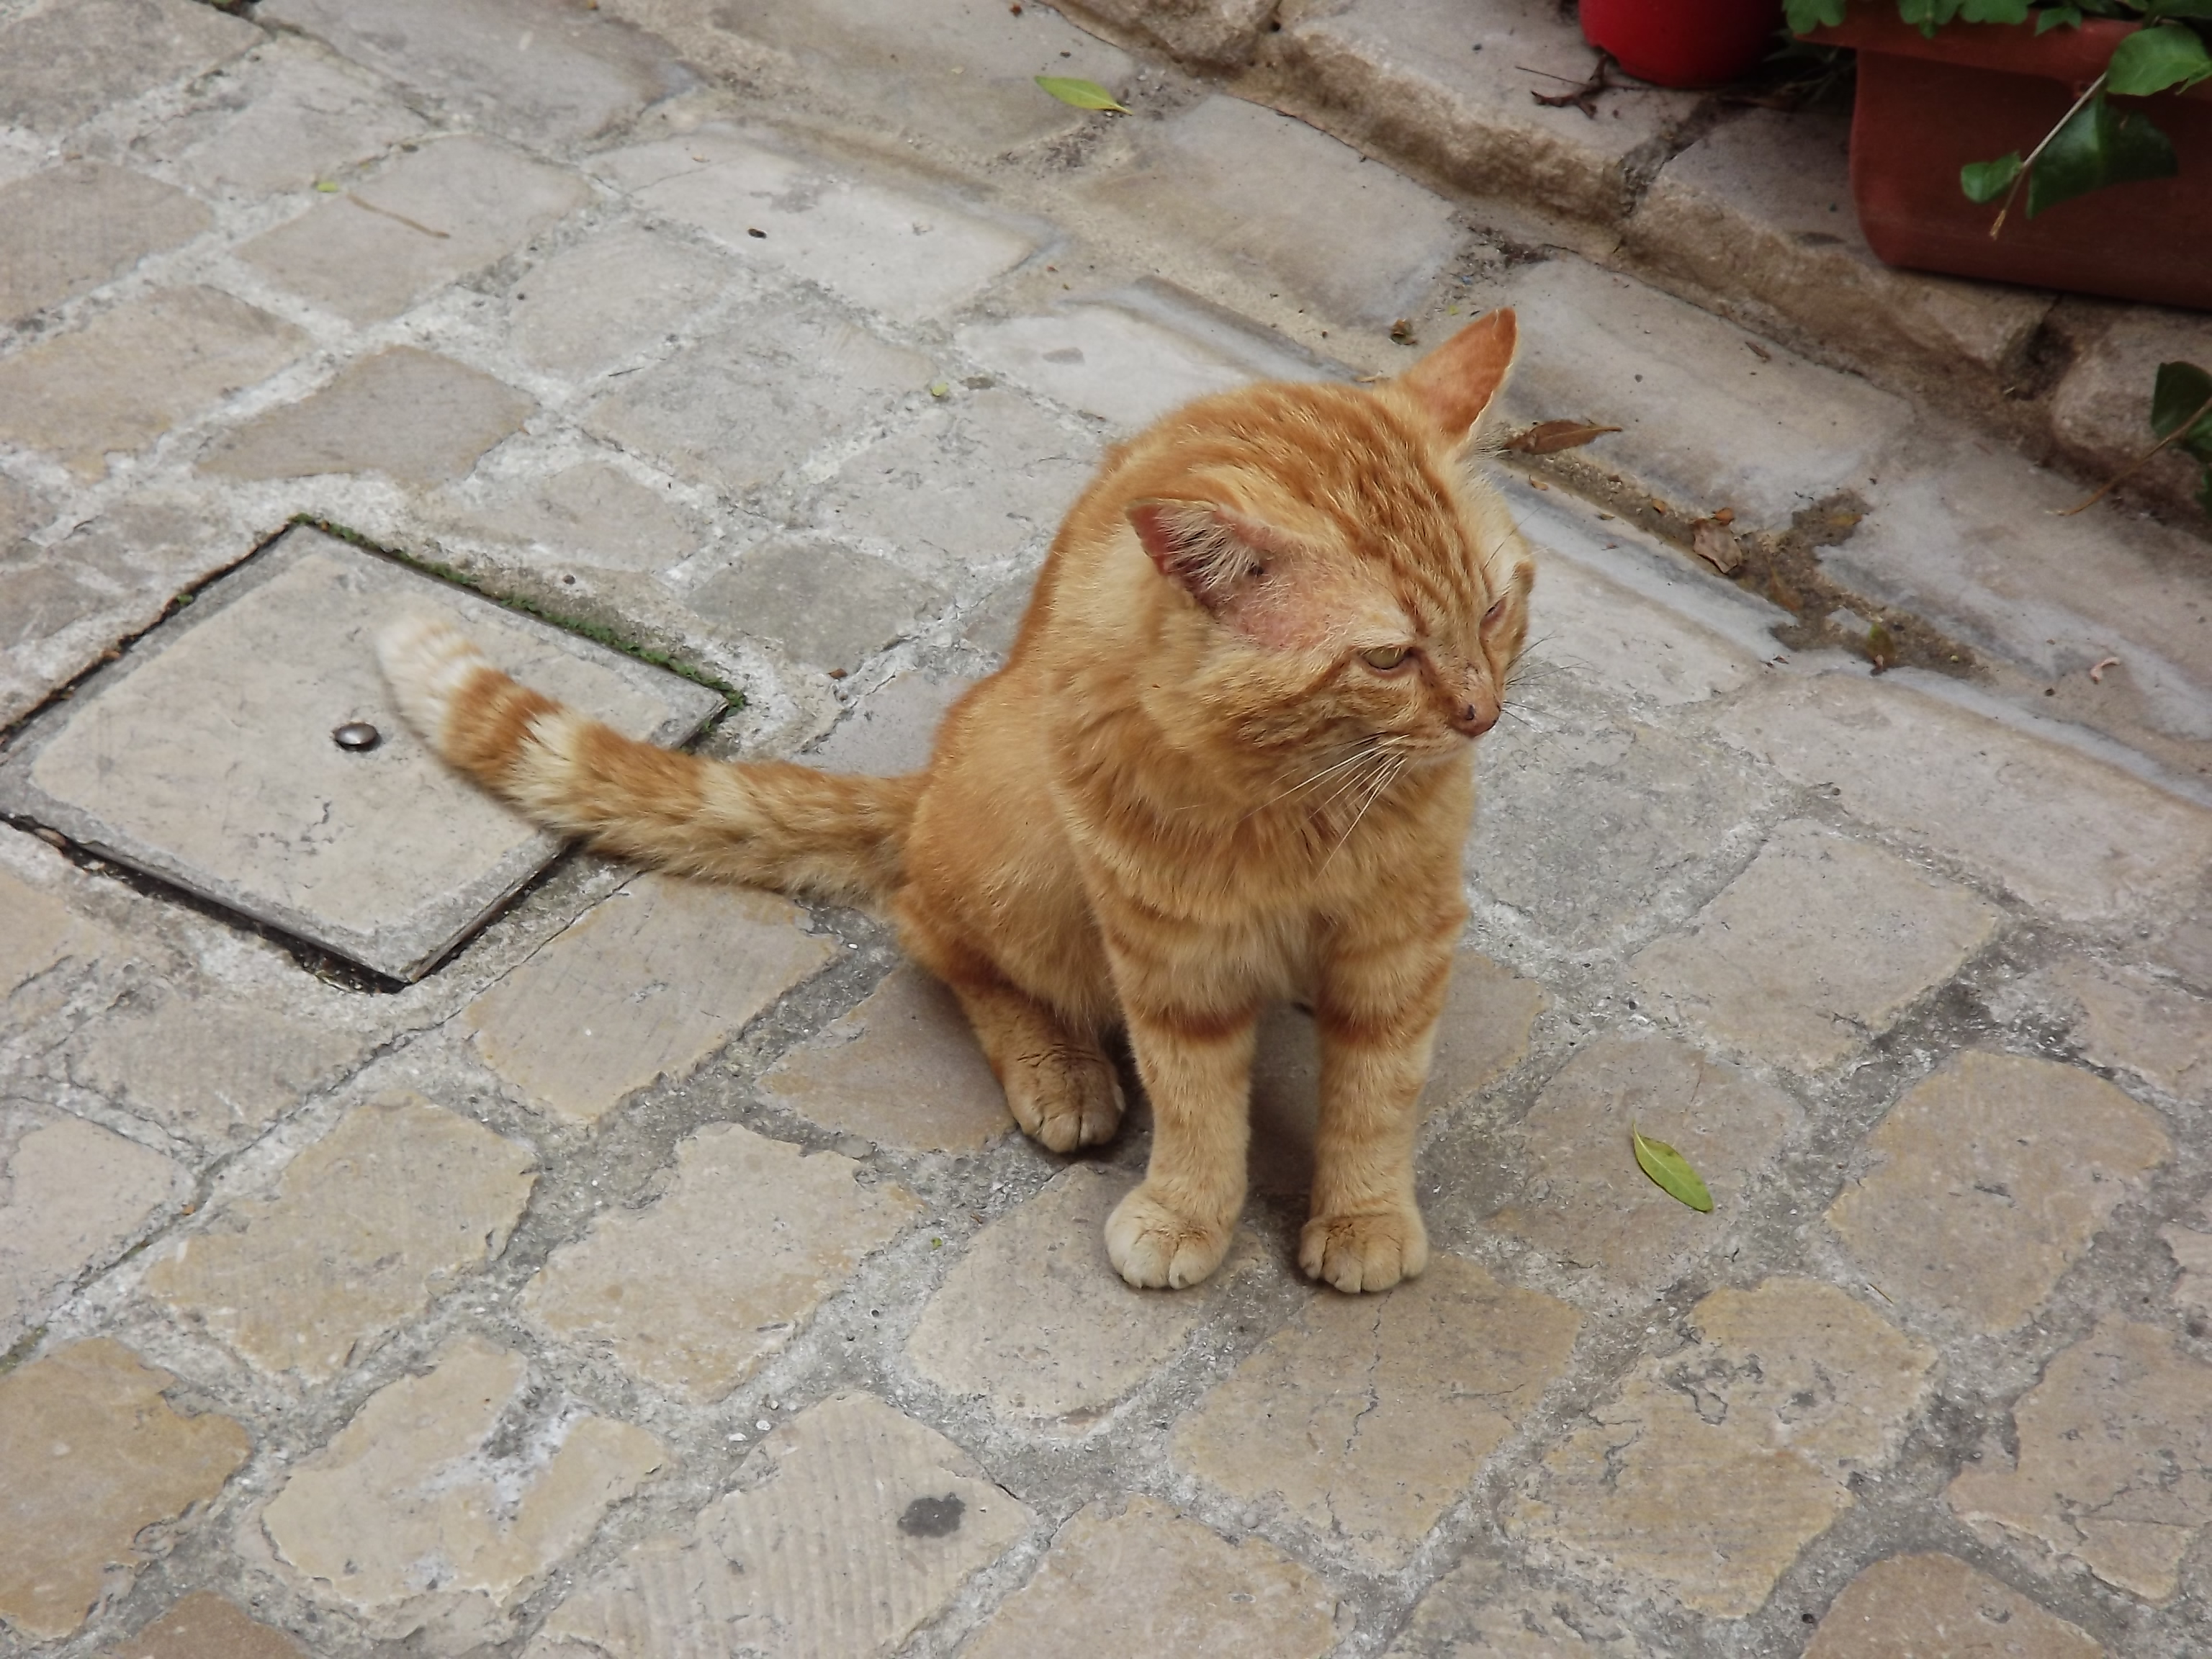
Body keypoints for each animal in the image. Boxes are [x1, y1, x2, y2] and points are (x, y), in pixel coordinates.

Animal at [380, 310, 1530, 1300]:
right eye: (1387, 658)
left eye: (1493, 608)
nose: (1481, 712)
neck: (1308, 799)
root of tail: (935, 774)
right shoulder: (1172, 957)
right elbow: (1197, 1102)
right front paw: (1187, 1213)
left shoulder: (1401, 938)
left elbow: (1378, 1091)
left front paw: (1365, 1216)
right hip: (1024, 852)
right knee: (942, 938)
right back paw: (1057, 1067)